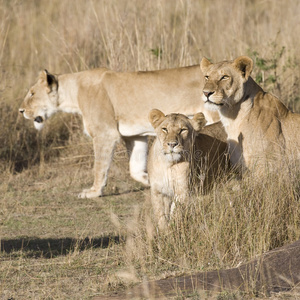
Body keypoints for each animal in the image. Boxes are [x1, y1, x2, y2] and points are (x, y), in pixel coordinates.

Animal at [19, 66, 219, 198]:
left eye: (32, 93)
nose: (21, 111)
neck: (72, 93)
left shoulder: (104, 133)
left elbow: (99, 166)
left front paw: (93, 192)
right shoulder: (135, 136)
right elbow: (135, 168)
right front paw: (149, 180)